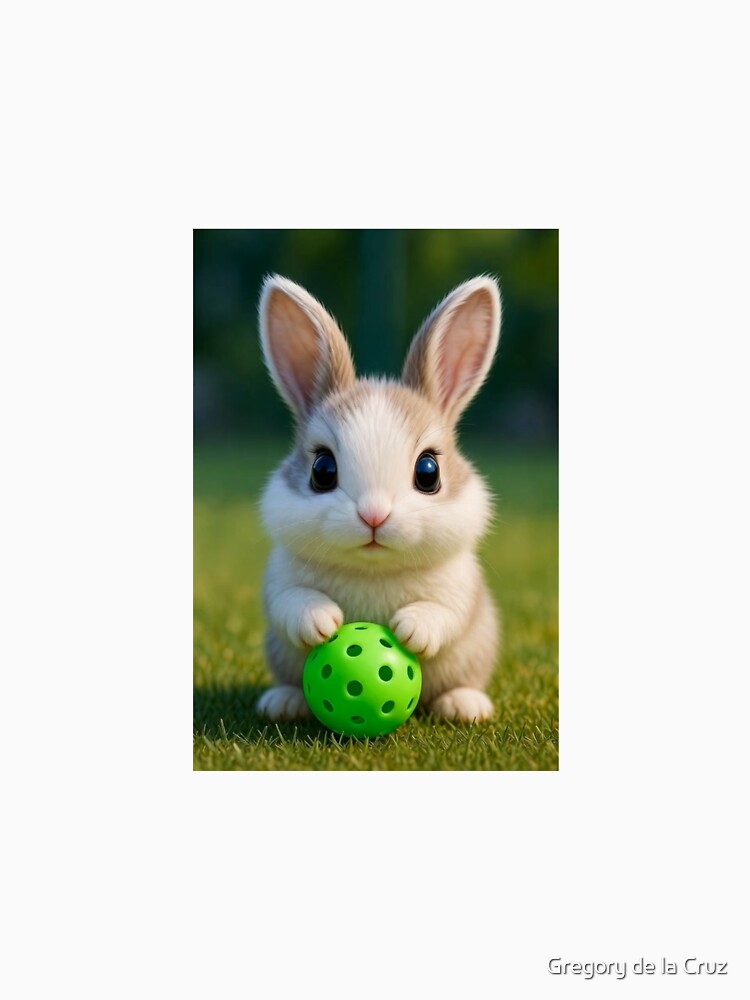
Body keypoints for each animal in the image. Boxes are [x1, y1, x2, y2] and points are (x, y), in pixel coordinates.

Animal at [256, 274, 501, 724]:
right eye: (322, 470)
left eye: (429, 472)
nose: (374, 515)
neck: (374, 570)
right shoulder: (279, 582)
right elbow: (291, 602)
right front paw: (321, 621)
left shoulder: (460, 589)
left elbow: (445, 613)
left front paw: (411, 628)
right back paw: (283, 702)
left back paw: (464, 706)